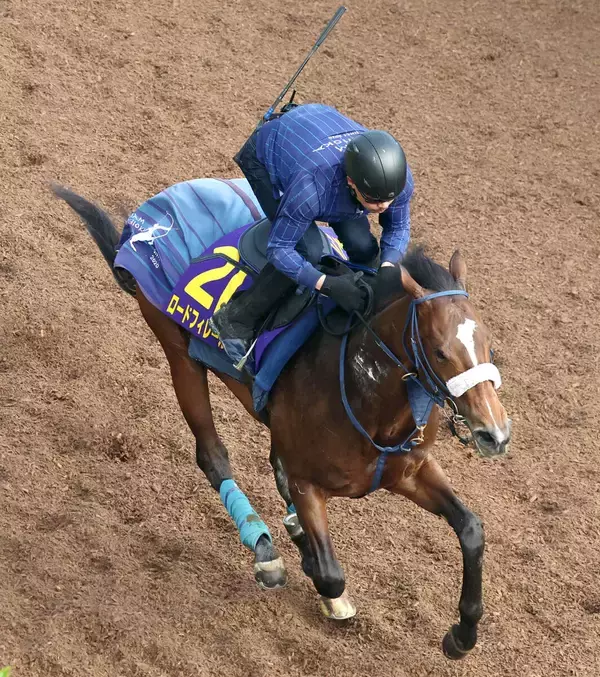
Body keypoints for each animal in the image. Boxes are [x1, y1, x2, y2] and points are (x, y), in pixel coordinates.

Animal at [52, 180, 511, 660]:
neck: (366, 397)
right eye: (439, 351)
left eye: (489, 343)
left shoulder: (410, 470)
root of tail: (147, 217)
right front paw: (315, 573)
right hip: (179, 353)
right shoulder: (310, 482)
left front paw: (462, 634)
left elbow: (471, 529)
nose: (494, 433)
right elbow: (331, 574)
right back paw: (265, 548)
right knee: (212, 455)